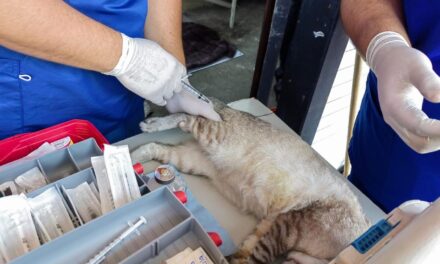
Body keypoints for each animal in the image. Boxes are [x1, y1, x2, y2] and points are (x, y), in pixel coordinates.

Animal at [130, 100, 368, 262]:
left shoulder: (270, 225)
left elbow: (247, 252)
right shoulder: (286, 226)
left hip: (196, 160)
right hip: (217, 138)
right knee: (189, 117)